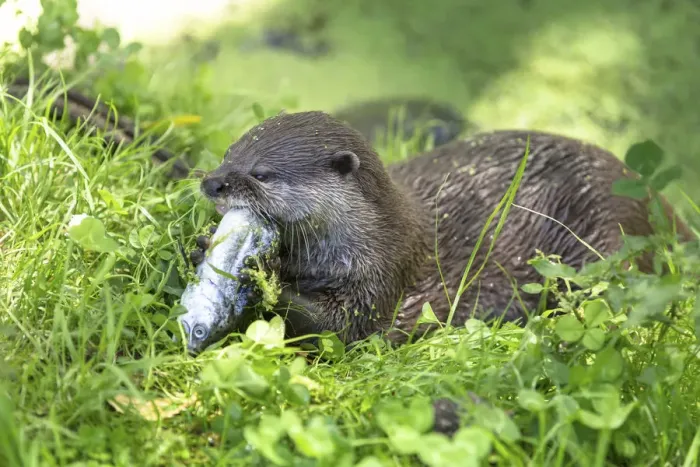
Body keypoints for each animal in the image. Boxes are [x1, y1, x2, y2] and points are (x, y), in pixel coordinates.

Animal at [191, 110, 692, 344]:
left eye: (261, 174)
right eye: (229, 153)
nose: (212, 182)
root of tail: (653, 199)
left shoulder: (383, 276)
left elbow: (341, 327)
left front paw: (262, 273)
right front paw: (202, 245)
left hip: (606, 240)